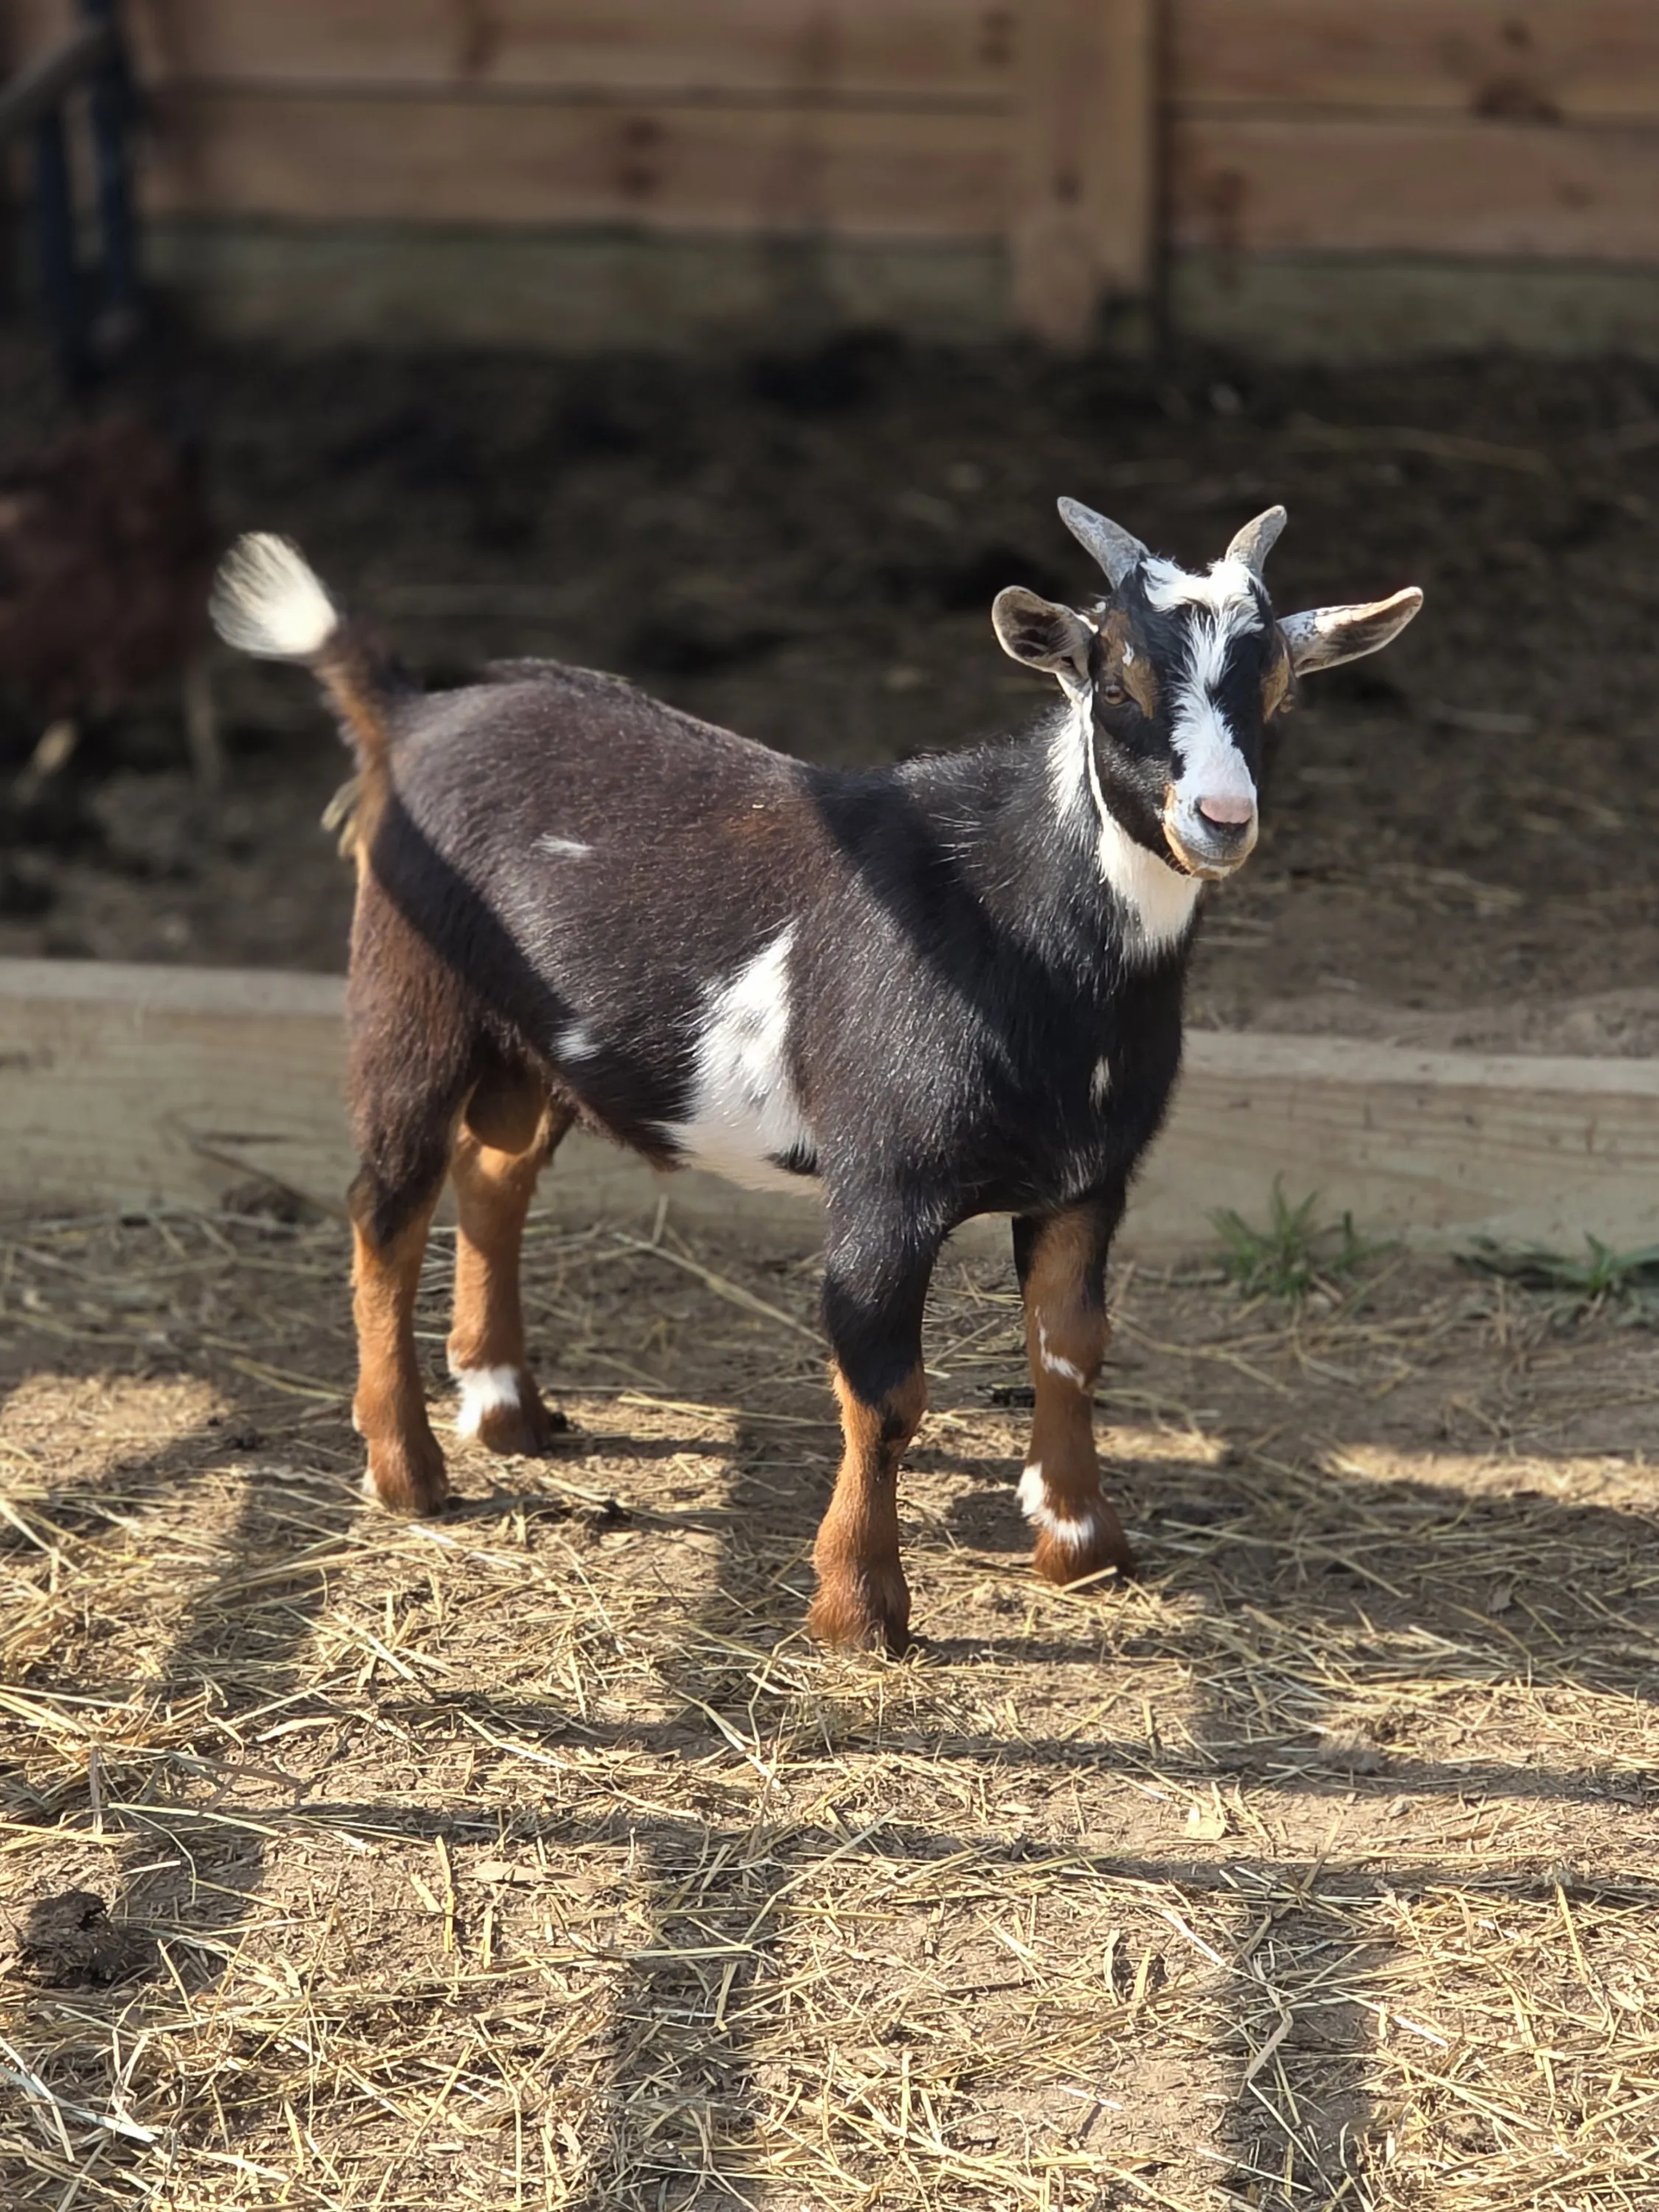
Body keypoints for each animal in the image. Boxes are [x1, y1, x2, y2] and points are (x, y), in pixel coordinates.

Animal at [210, 503, 1421, 1652]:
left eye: (1279, 688)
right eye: (1117, 678)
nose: (1220, 820)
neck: (1017, 918)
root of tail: (414, 719)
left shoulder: (1090, 1176)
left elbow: (1070, 1348)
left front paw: (1082, 1546)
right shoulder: (884, 1183)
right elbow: (885, 1394)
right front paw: (858, 1611)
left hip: (538, 1048)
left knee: (494, 1177)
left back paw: (508, 1409)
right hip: (408, 997)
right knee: (386, 1207)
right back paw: (408, 1472)